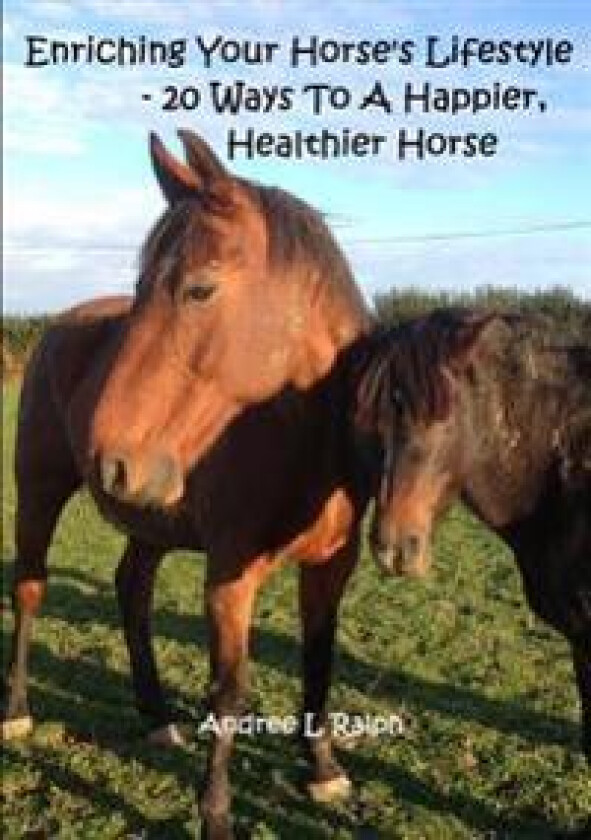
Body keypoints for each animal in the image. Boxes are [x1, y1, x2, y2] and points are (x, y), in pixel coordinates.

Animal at [3, 130, 374, 839]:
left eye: (199, 289)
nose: (110, 458)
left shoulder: (332, 566)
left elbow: (319, 658)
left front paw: (321, 768)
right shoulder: (231, 575)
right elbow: (229, 689)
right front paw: (217, 812)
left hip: (148, 518)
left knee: (132, 591)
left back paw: (155, 714)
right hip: (39, 492)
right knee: (30, 589)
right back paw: (16, 708)